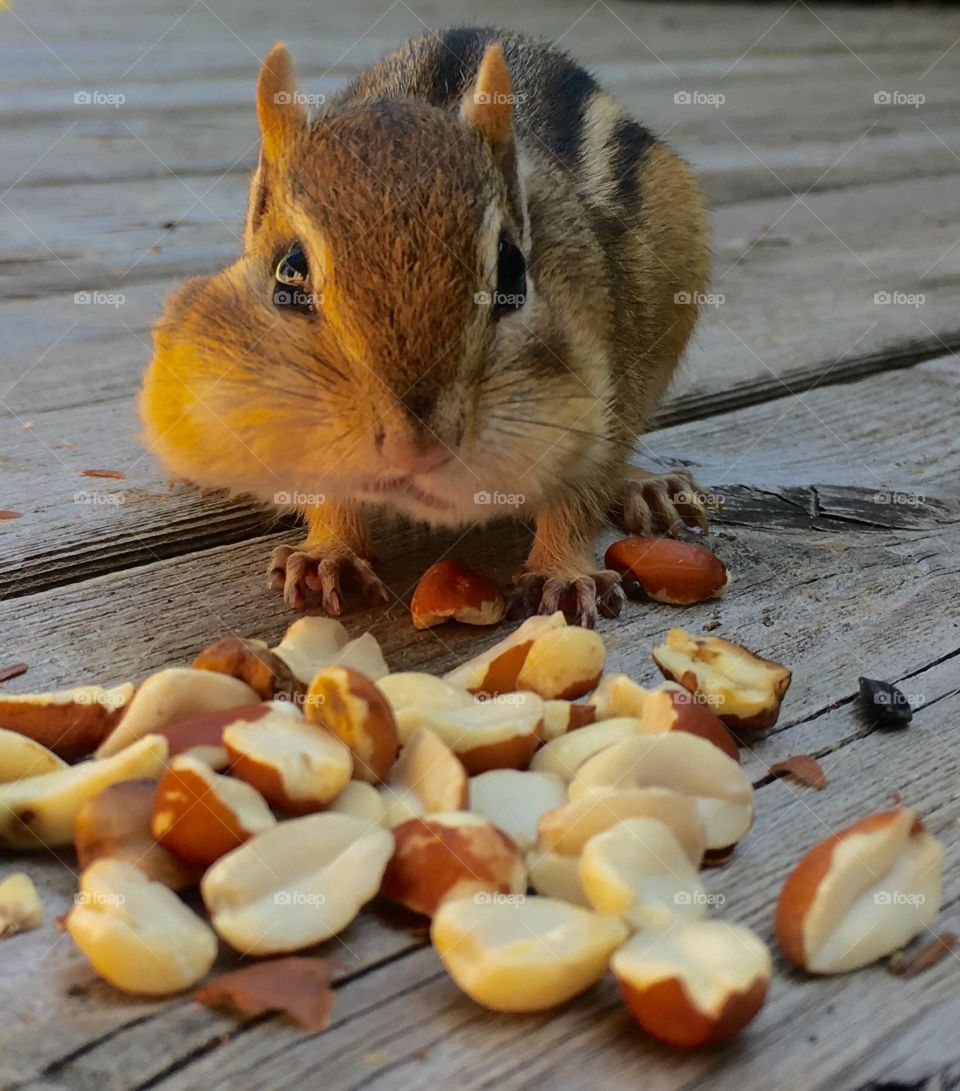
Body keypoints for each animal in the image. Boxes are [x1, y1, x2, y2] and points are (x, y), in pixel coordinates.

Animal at [140, 27, 710, 627]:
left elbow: (579, 490)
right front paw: (329, 554)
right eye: (288, 269)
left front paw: (565, 572)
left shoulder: (596, 388)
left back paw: (647, 487)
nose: (414, 449)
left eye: (512, 268)